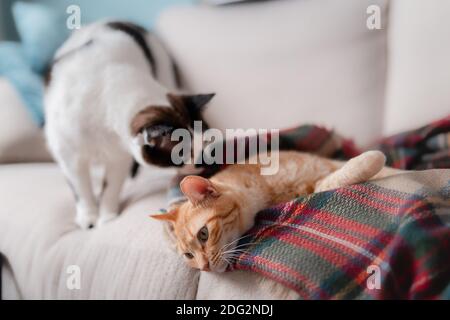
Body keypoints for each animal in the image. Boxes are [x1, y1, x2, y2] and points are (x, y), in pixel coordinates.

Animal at [44, 21, 214, 229]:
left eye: (204, 143)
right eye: (182, 154)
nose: (204, 163)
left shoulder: (118, 156)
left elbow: (111, 186)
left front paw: (107, 217)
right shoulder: (67, 153)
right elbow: (81, 189)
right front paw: (89, 218)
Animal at [153, 151, 400, 272]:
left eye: (203, 234)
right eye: (188, 256)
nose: (204, 269)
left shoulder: (324, 166)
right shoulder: (315, 186)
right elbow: (334, 179)